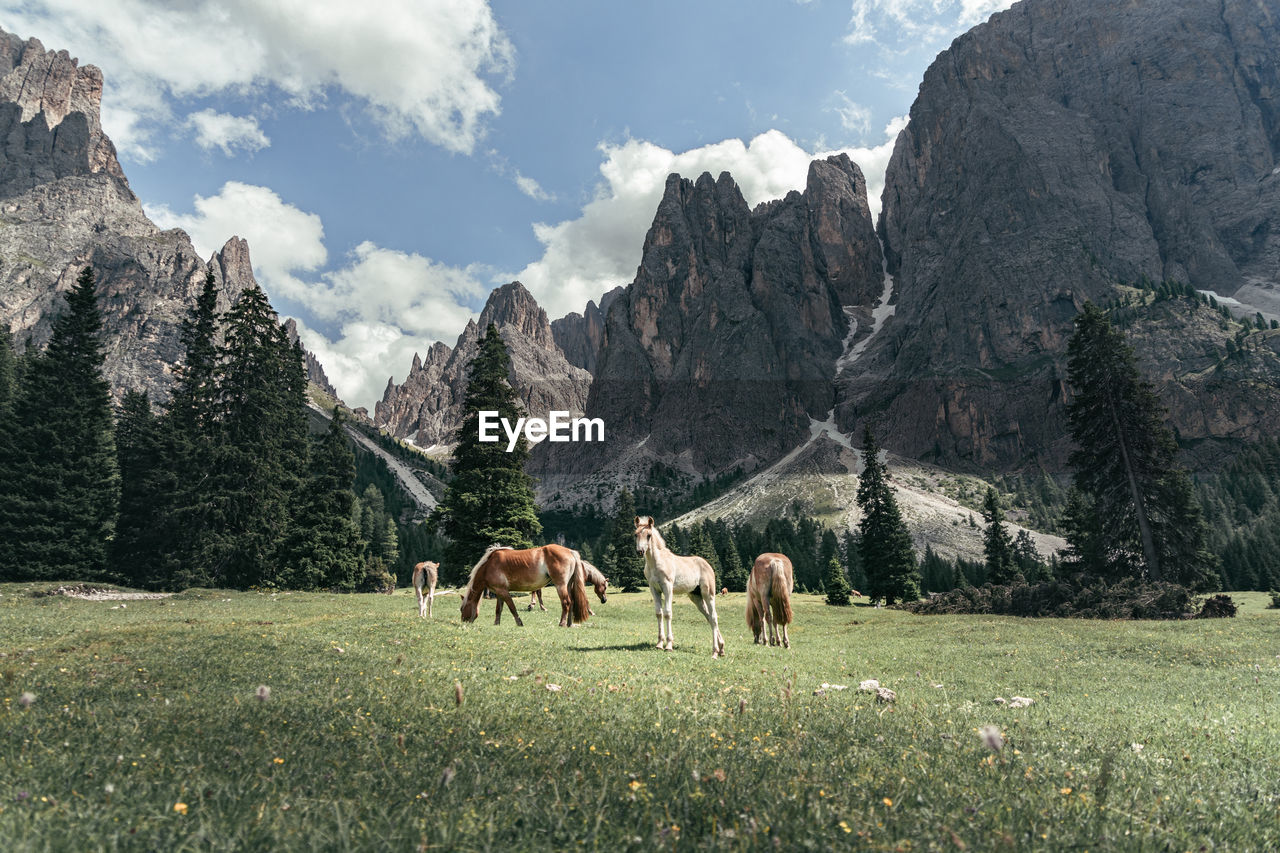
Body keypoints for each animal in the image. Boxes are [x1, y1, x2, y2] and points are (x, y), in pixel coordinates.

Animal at [460, 545, 588, 625]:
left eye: (461, 608)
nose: (463, 622)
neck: (489, 566)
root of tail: (570, 551)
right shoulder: (499, 592)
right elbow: (498, 609)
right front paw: (496, 624)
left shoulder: (504, 592)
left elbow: (512, 608)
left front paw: (519, 623)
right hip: (568, 585)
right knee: (572, 602)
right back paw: (569, 624)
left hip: (560, 585)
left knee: (566, 602)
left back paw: (562, 623)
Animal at [634, 512, 727, 655]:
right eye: (635, 534)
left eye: (649, 535)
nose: (640, 551)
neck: (656, 563)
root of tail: (708, 565)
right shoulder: (654, 588)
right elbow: (659, 613)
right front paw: (659, 643)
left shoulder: (667, 587)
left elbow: (667, 612)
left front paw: (669, 645)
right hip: (696, 597)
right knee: (708, 617)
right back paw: (721, 648)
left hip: (708, 593)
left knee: (714, 617)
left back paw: (715, 650)